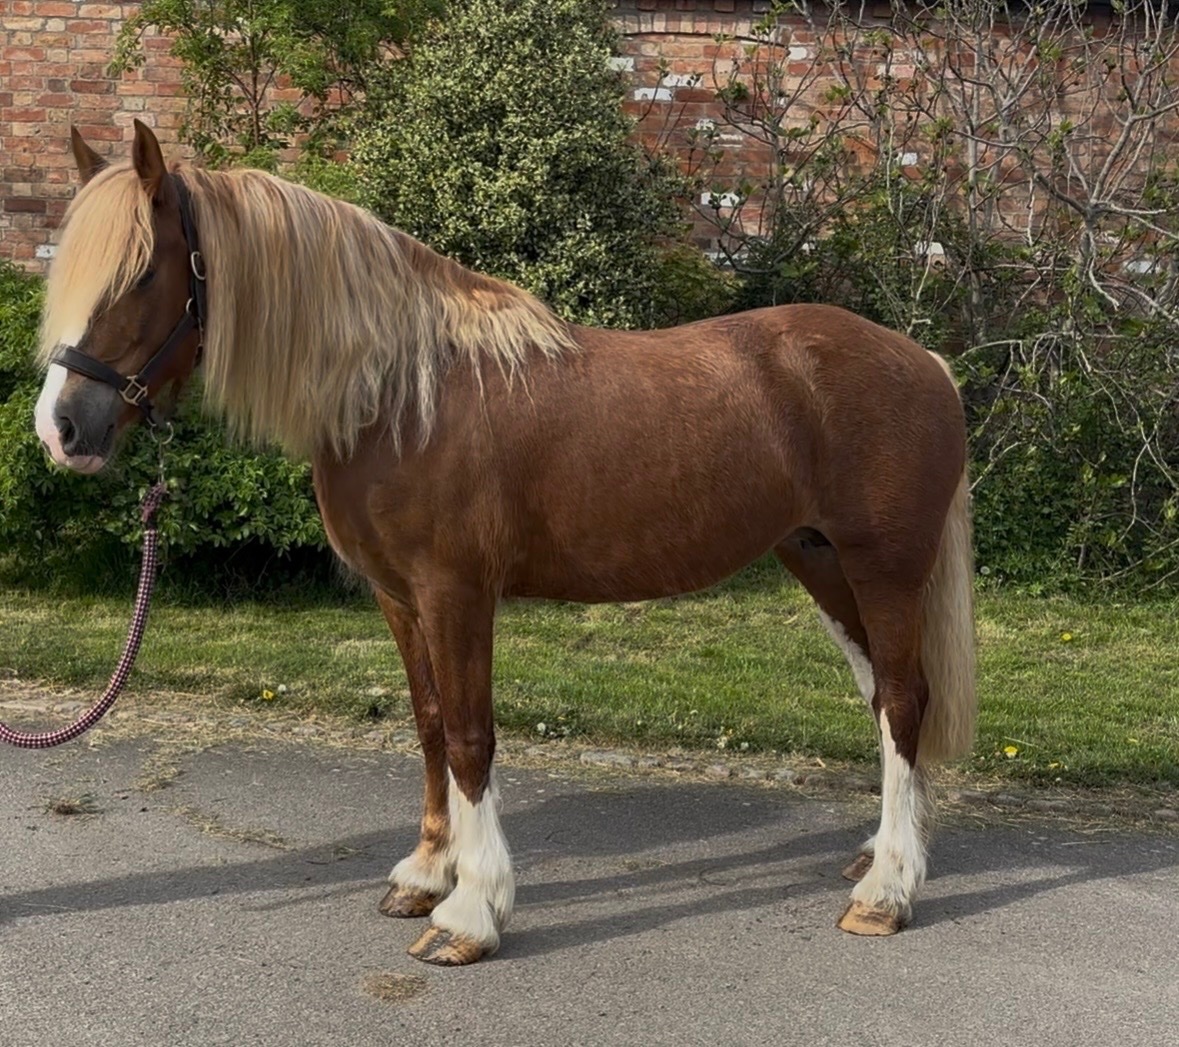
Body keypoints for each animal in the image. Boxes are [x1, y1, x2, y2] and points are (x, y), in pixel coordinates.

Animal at [34, 121, 976, 966]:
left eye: (140, 272)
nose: (61, 428)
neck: (400, 393)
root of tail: (923, 361)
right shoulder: (398, 597)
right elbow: (427, 724)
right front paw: (424, 873)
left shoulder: (456, 592)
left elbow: (469, 736)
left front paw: (470, 911)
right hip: (817, 560)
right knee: (880, 692)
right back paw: (877, 853)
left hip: (882, 568)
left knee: (902, 700)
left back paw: (886, 892)